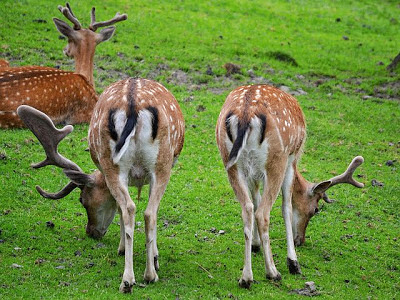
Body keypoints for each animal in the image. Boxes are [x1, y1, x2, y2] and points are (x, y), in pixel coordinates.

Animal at [18, 77, 187, 292]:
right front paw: (147, 255)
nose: (91, 232)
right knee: (141, 211)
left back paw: (131, 279)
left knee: (135, 209)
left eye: (82, 200)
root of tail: (132, 106)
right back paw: (144, 276)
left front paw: (136, 252)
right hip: (159, 163)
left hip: (121, 162)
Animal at [216, 84, 366, 288]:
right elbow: (286, 207)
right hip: (276, 160)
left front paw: (256, 245)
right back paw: (273, 272)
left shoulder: (252, 173)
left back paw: (246, 278)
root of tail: (246, 114)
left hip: (230, 161)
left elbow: (255, 199)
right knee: (263, 213)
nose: (300, 240)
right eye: (315, 210)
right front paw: (293, 262)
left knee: (247, 209)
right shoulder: (291, 159)